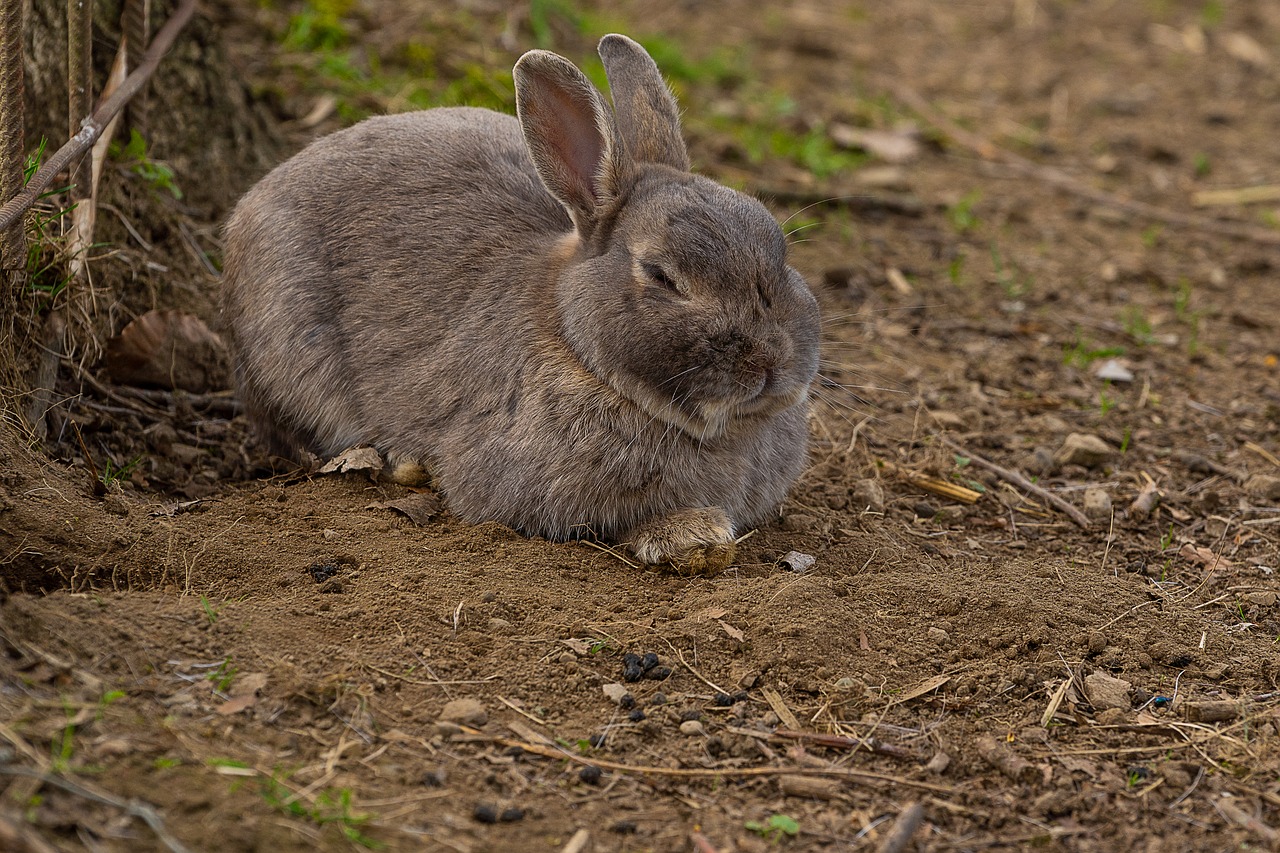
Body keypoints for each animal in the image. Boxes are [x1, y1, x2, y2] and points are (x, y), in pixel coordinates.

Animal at [220, 33, 819, 571]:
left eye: (779, 248)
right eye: (661, 276)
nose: (772, 362)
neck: (579, 347)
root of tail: (257, 197)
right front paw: (693, 536)